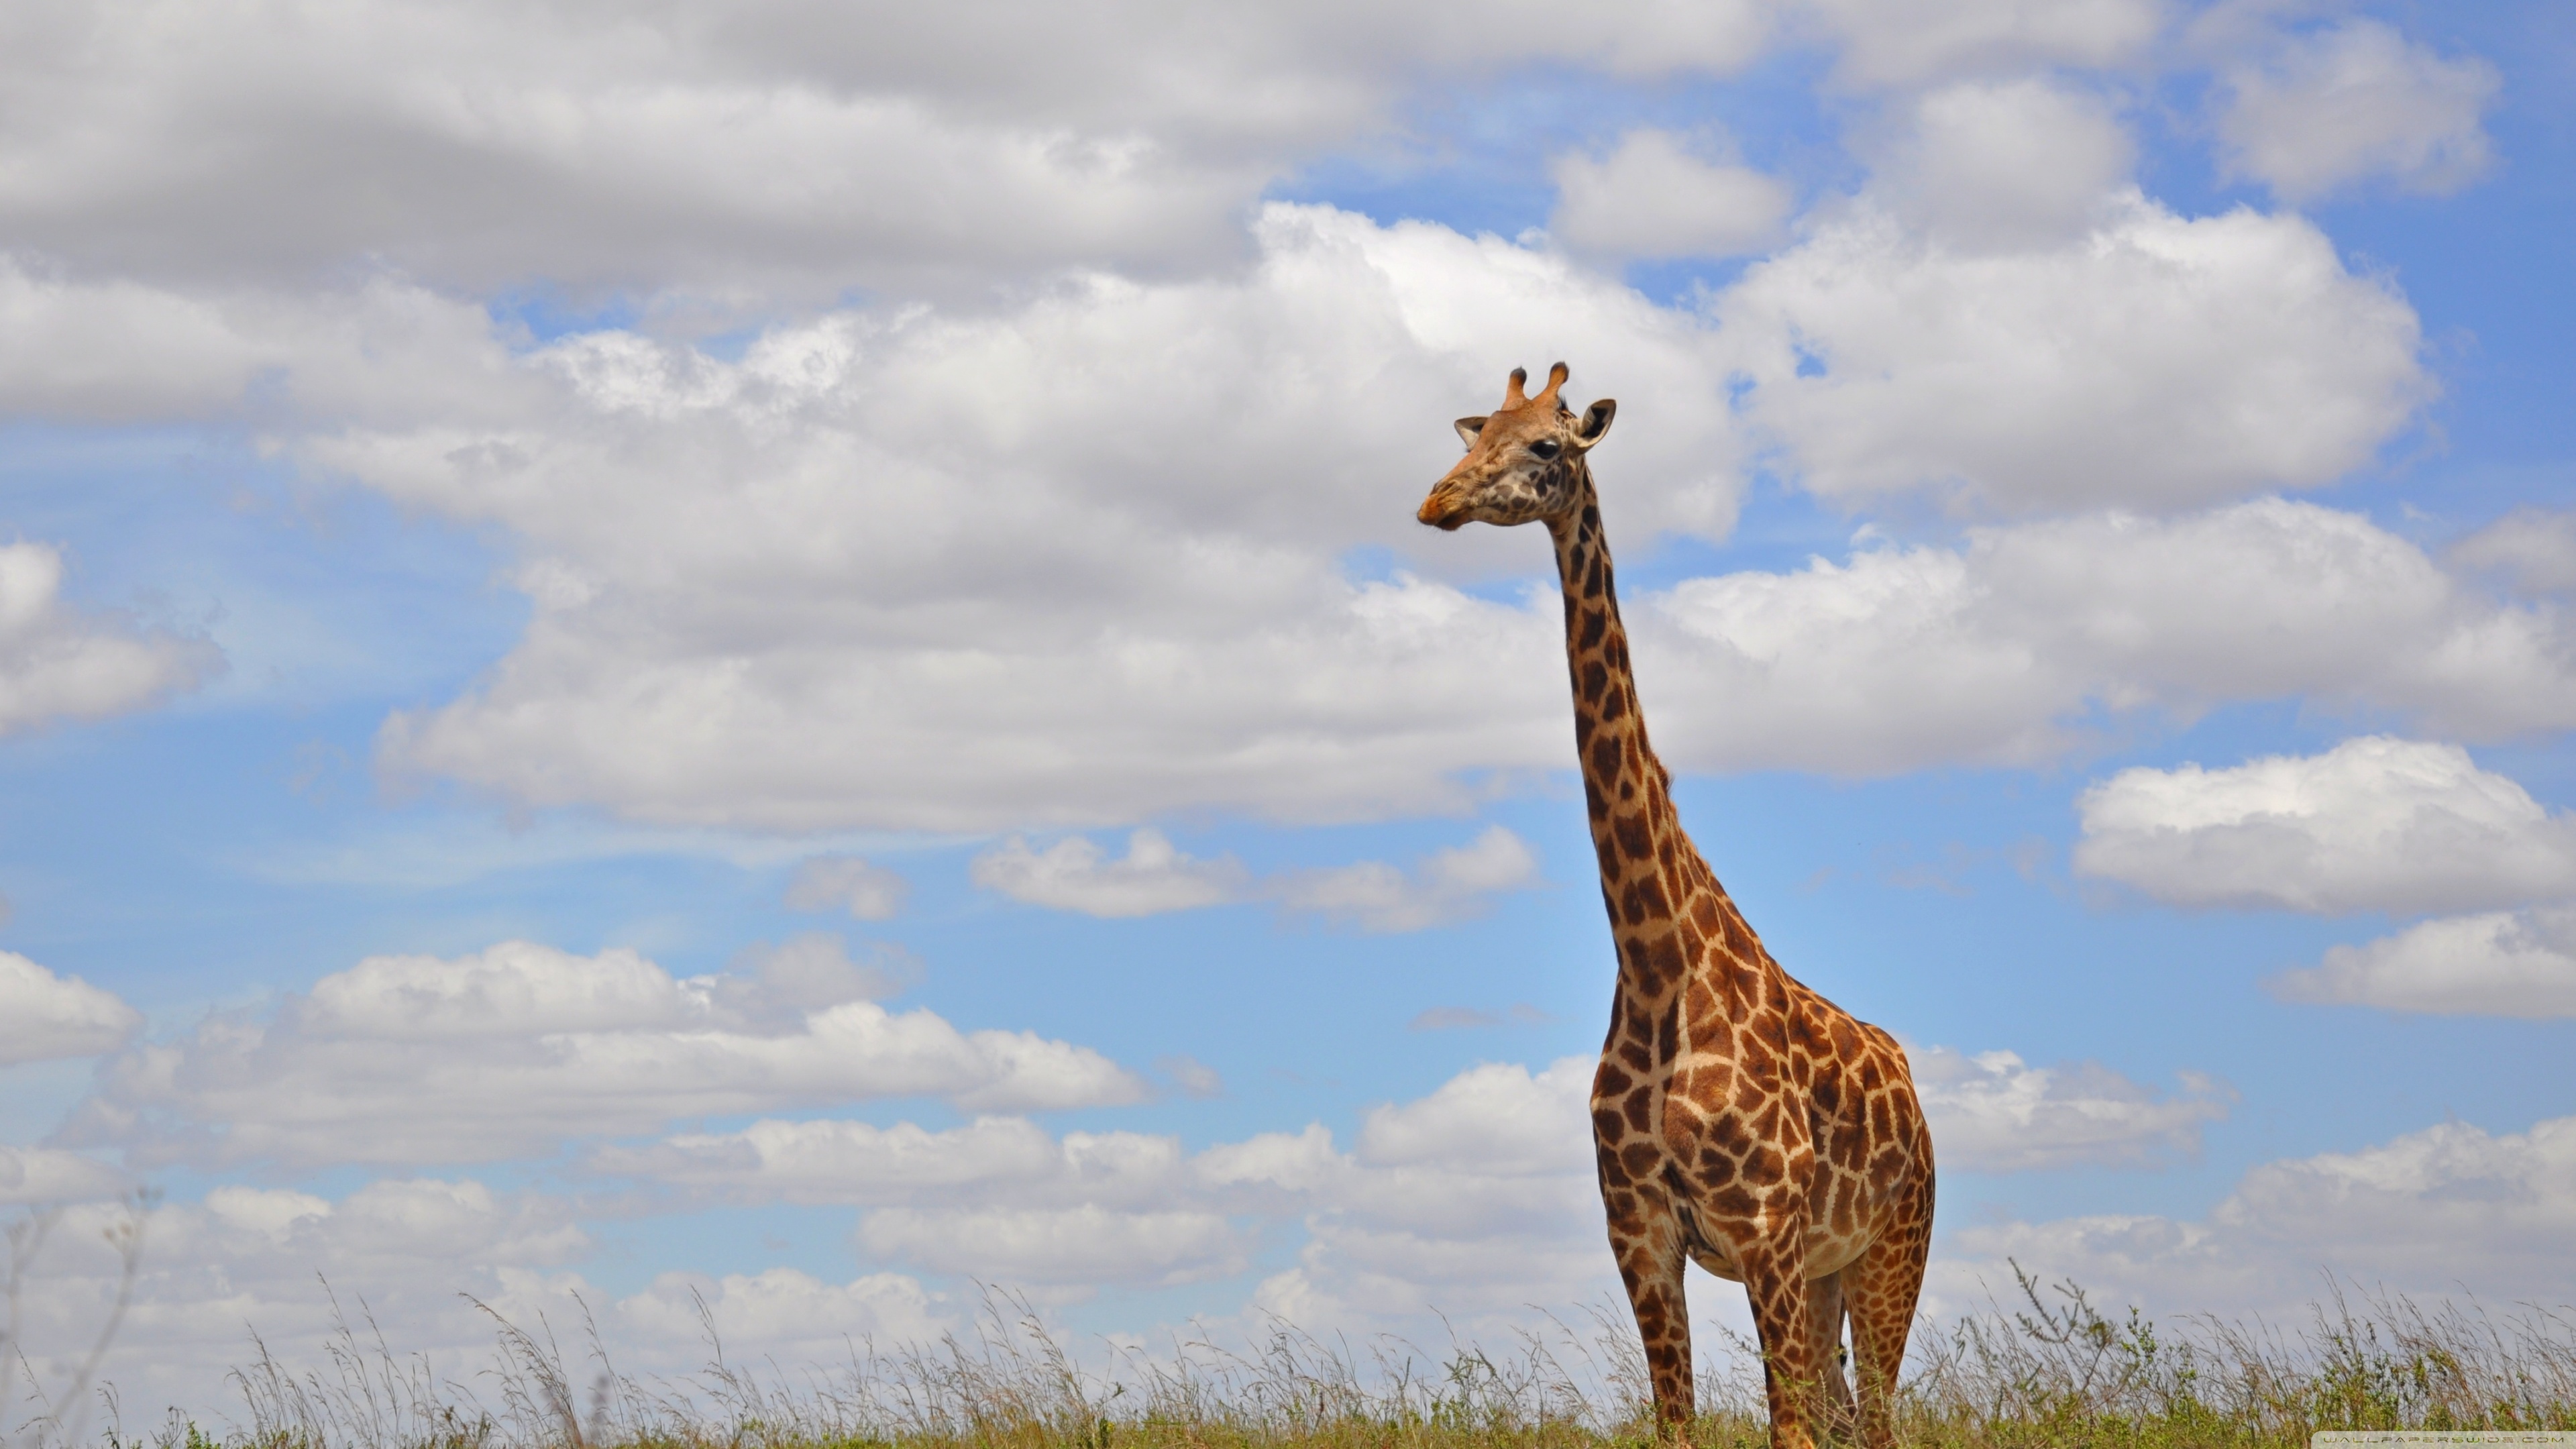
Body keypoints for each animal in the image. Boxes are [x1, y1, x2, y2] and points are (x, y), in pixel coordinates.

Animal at [1414, 364, 1935, 1449]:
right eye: (1476, 434)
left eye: (1549, 447)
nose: (1437, 501)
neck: (1656, 966)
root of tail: (1913, 1092)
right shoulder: (1643, 1238)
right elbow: (1679, 1424)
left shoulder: (1765, 1235)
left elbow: (1787, 1432)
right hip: (1829, 1271)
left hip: (1889, 1249)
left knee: (1877, 1419)